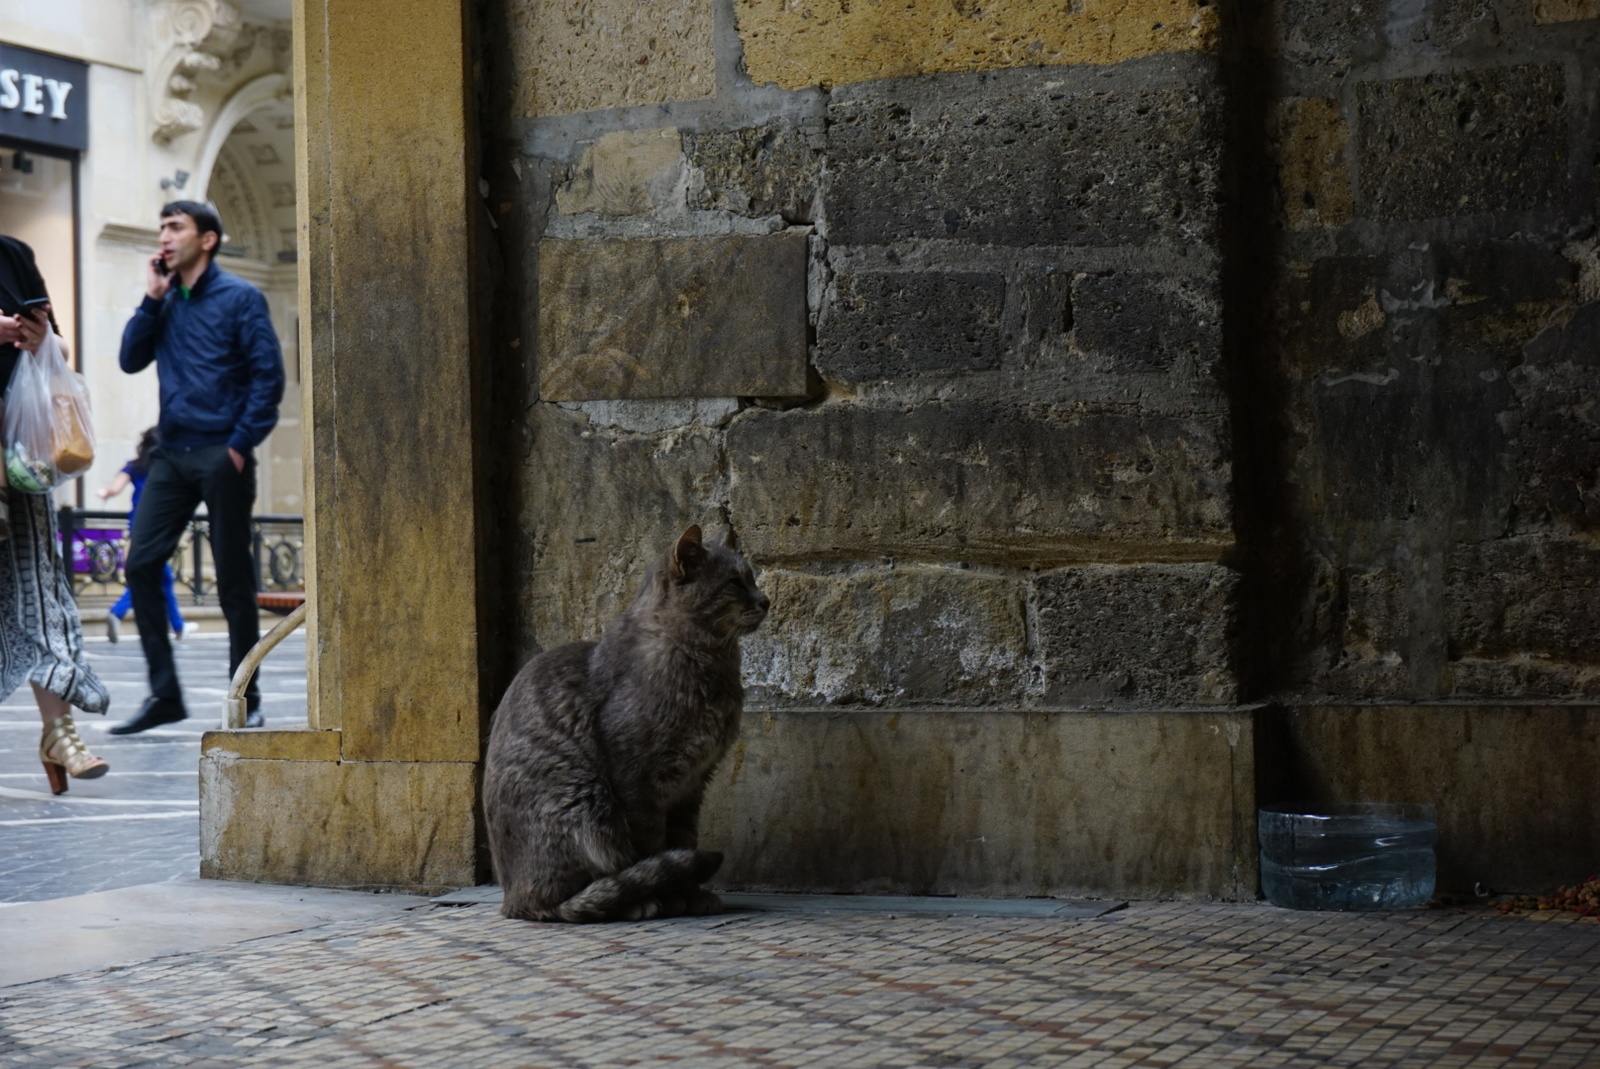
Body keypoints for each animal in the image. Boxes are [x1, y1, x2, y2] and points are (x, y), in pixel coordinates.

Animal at [480, 524, 768, 921]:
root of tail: (512, 901)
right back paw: (634, 902)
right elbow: (651, 848)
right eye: (735, 582)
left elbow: (683, 841)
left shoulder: (692, 785)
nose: (766, 600)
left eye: (752, 579)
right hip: (586, 802)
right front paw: (669, 897)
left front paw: (691, 893)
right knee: (573, 898)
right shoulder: (638, 782)